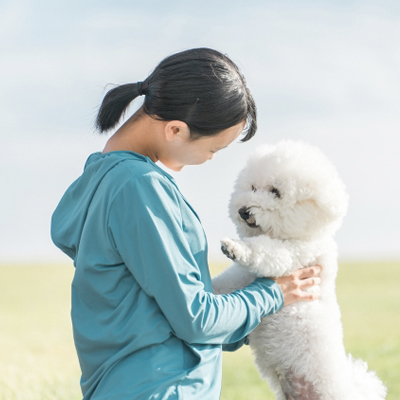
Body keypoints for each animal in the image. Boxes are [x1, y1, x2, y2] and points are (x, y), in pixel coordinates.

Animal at [214, 141, 386, 400]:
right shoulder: (242, 277)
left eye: (275, 192)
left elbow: (264, 251)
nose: (243, 211)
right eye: (253, 187)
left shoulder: (295, 255)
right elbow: (225, 283)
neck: (293, 235)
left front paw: (235, 248)